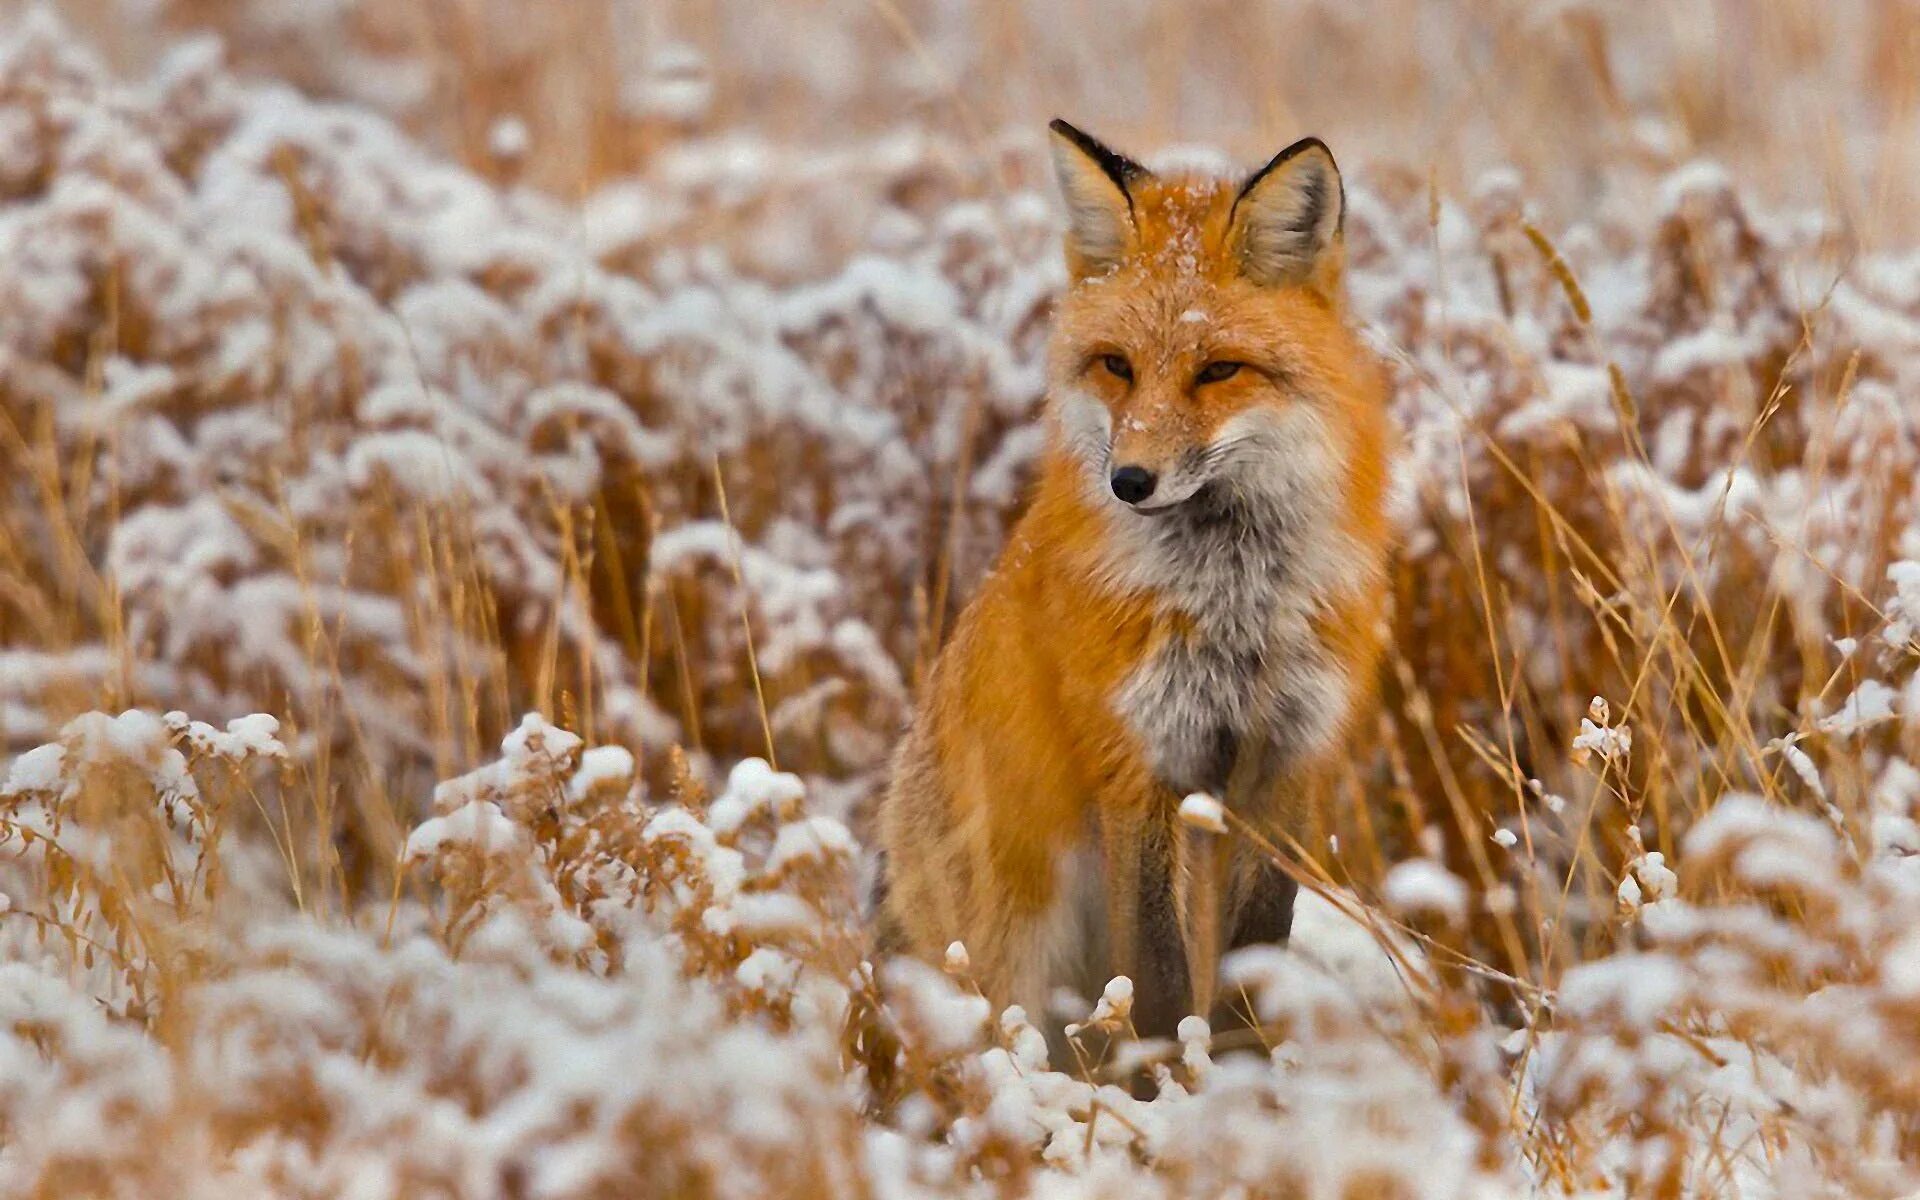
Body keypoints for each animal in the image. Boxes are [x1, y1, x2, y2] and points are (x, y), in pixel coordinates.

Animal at [875, 121, 1397, 1036]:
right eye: (1116, 365)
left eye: (1219, 370)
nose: (1130, 480)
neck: (1234, 602)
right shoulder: (1137, 763)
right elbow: (1153, 977)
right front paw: (1164, 1067)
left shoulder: (1287, 761)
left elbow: (1254, 953)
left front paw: (1241, 1063)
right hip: (1015, 941)